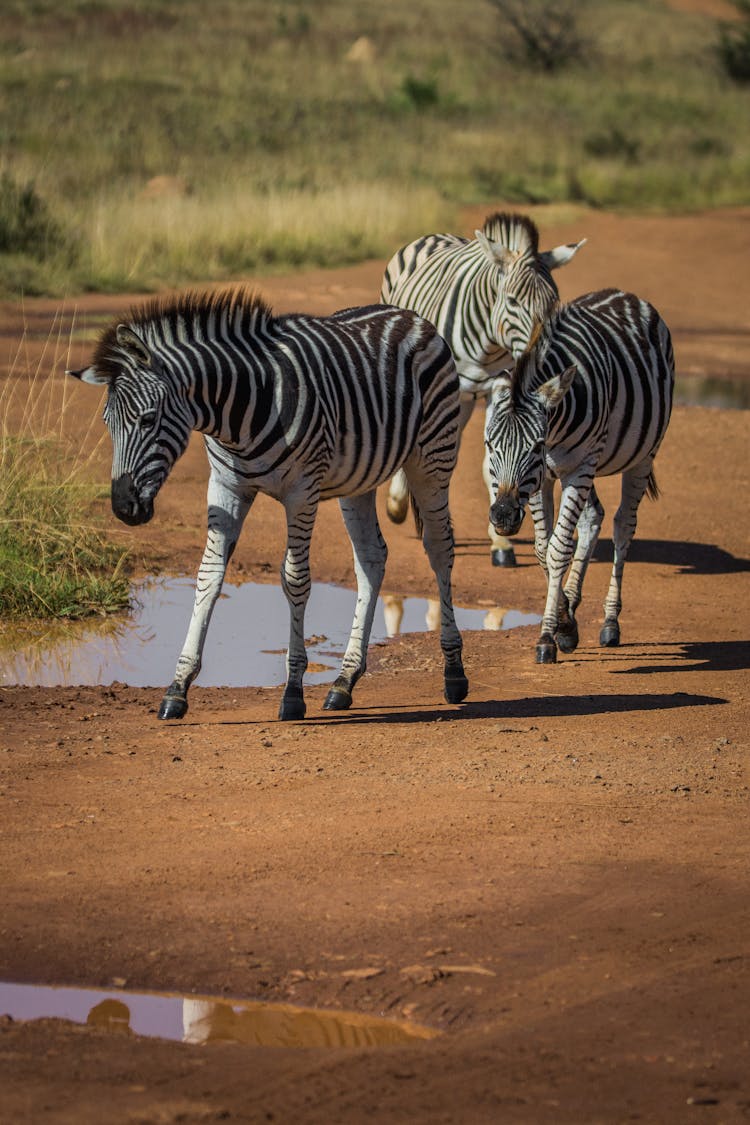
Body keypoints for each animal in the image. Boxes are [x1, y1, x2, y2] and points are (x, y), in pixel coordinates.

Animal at [68, 285, 470, 715]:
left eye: (147, 420)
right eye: (108, 424)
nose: (123, 508)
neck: (241, 411)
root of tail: (407, 314)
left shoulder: (302, 492)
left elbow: (295, 580)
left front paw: (293, 692)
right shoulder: (225, 487)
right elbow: (208, 575)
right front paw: (177, 688)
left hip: (432, 459)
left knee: (439, 548)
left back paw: (453, 673)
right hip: (359, 481)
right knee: (371, 558)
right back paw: (344, 682)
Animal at [382, 211, 584, 567]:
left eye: (553, 303)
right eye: (513, 300)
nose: (539, 355)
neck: (487, 342)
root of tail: (435, 235)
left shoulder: (496, 387)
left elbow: (489, 459)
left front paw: (500, 543)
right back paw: (401, 505)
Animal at [483, 285, 679, 666]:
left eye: (536, 446)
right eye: (489, 444)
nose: (502, 516)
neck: (556, 429)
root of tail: (626, 295)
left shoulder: (578, 466)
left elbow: (559, 548)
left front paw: (547, 637)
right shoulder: (545, 477)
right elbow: (543, 549)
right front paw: (565, 623)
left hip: (641, 455)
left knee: (623, 525)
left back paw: (610, 622)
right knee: (594, 517)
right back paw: (574, 602)